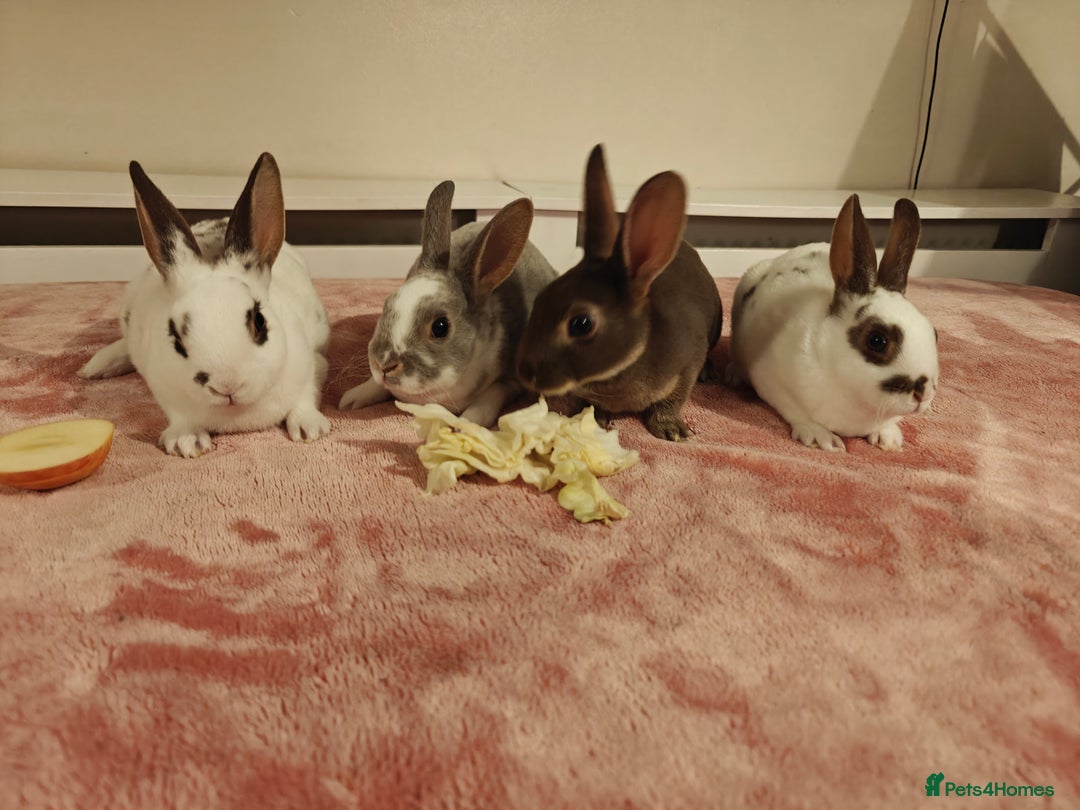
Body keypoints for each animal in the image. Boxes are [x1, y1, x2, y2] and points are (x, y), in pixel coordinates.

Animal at [78, 152, 331, 458]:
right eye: (176, 338)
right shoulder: (165, 392)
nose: (226, 386)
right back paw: (94, 368)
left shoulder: (312, 366)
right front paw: (186, 443)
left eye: (259, 322)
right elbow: (179, 418)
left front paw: (310, 428)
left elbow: (305, 397)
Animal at [338, 180, 557, 427]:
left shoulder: (512, 381)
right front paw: (350, 399)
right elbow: (375, 385)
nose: (383, 364)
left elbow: (491, 397)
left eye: (440, 327)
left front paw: (467, 423)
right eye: (387, 305)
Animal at [515, 144, 723, 441]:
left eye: (581, 324)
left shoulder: (686, 366)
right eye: (542, 297)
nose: (524, 373)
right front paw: (592, 418)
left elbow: (673, 400)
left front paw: (670, 429)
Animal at [725, 193, 939, 452]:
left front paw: (888, 439)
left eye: (935, 334)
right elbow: (796, 412)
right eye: (877, 340)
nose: (923, 394)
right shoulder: (771, 381)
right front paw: (821, 438)